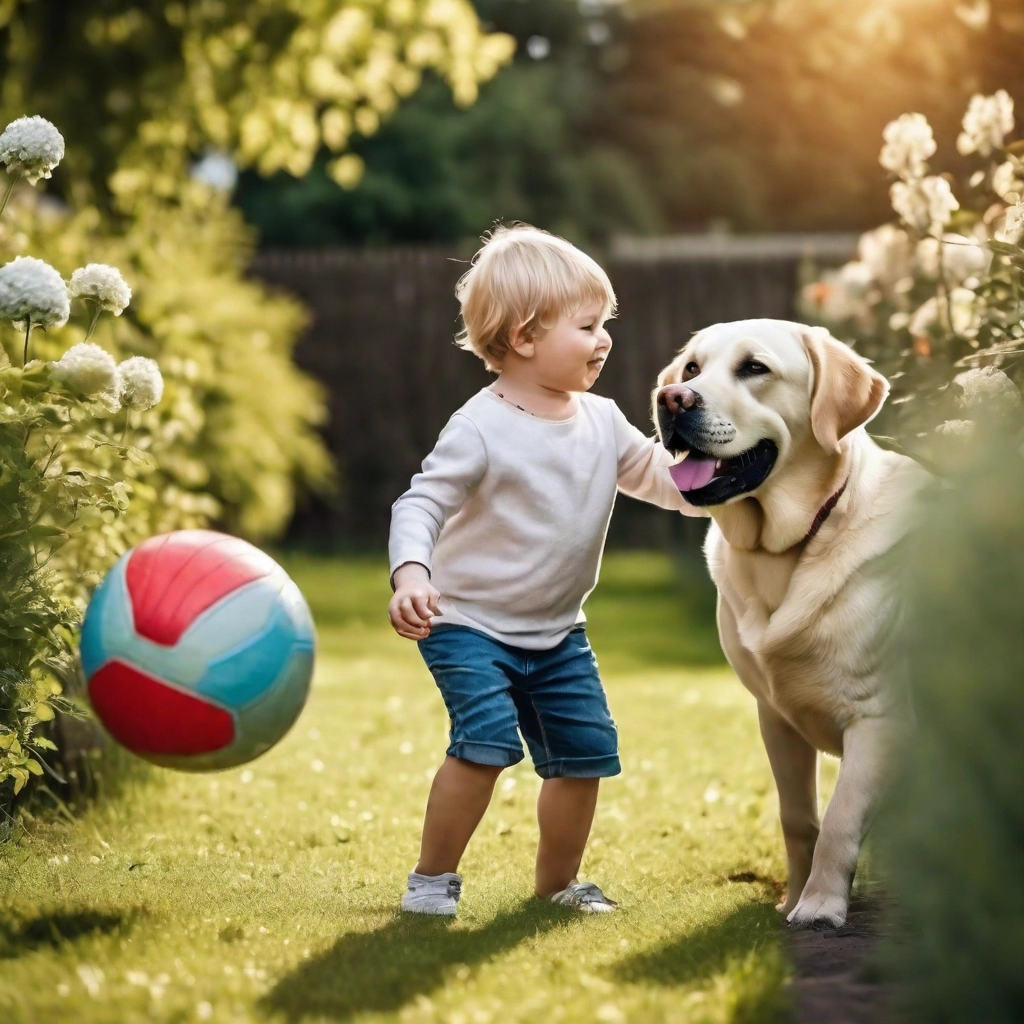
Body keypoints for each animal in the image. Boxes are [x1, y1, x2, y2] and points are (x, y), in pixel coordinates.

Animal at [655, 317, 929, 929]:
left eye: (754, 368)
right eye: (691, 368)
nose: (672, 398)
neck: (782, 552)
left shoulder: (878, 721)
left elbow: (840, 820)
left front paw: (820, 907)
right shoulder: (776, 718)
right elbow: (798, 819)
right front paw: (795, 897)